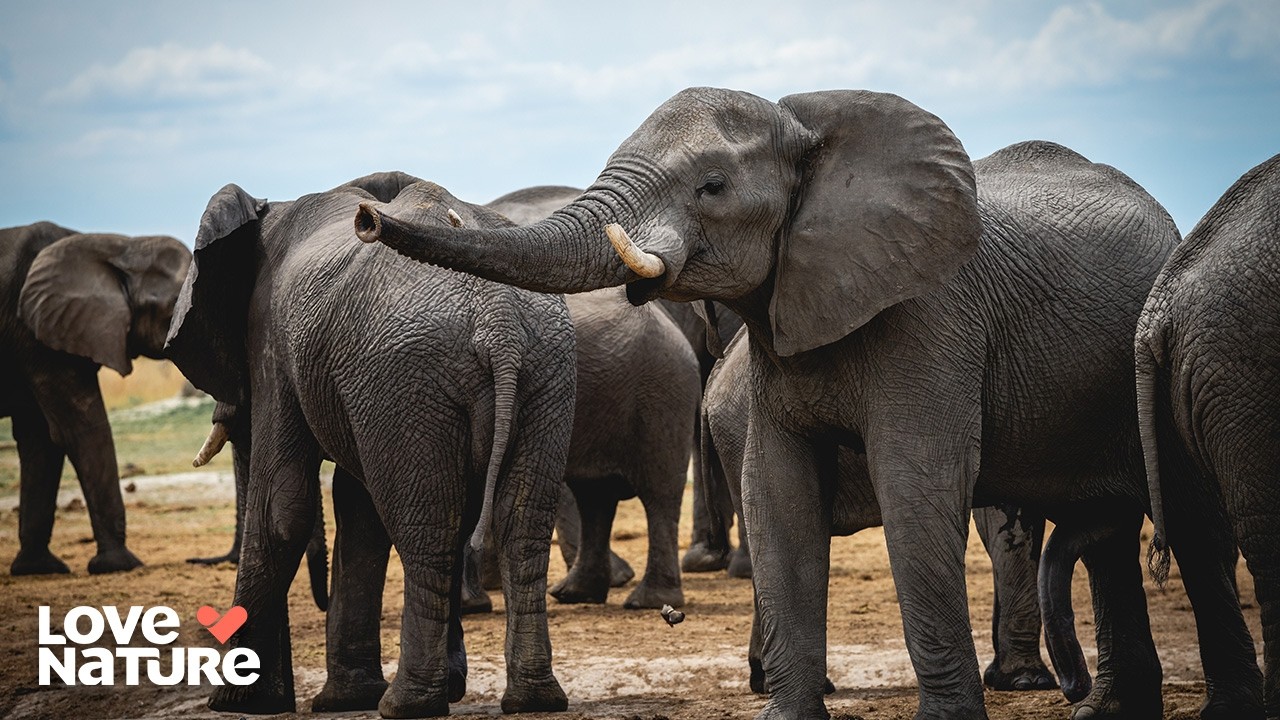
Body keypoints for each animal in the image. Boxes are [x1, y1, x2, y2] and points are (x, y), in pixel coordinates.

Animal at [1, 222, 190, 575]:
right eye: (177, 304)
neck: (120, 246)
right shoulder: (37, 334)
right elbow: (81, 429)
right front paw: (119, 565)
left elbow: (41, 440)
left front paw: (38, 568)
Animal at [165, 172, 576, 717]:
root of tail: (499, 323)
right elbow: (357, 508)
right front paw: (343, 698)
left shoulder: (270, 338)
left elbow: (281, 508)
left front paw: (235, 701)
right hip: (542, 372)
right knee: (517, 527)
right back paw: (532, 698)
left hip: (409, 377)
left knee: (428, 530)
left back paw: (407, 704)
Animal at [703, 327, 1061, 695]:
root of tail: (715, 377)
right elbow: (1006, 523)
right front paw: (1025, 681)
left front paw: (1013, 679)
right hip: (740, 435)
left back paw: (767, 682)